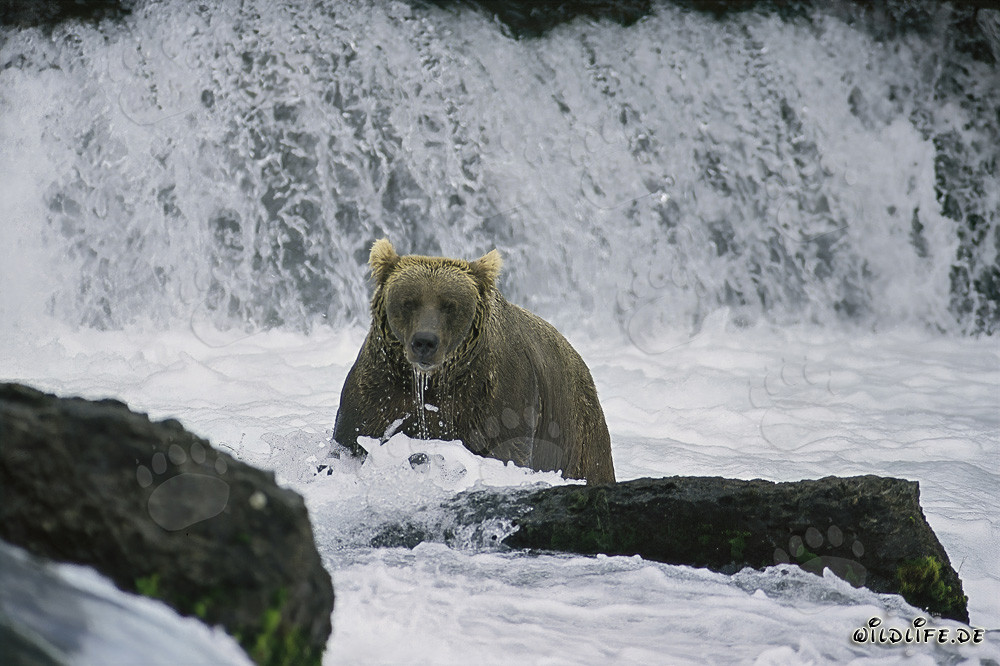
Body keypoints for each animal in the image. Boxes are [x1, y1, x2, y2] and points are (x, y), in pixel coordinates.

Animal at [332, 239, 615, 484]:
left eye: (450, 305)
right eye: (408, 302)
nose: (425, 342)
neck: (435, 380)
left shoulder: (495, 398)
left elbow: (505, 451)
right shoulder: (379, 390)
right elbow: (351, 439)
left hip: (579, 436)